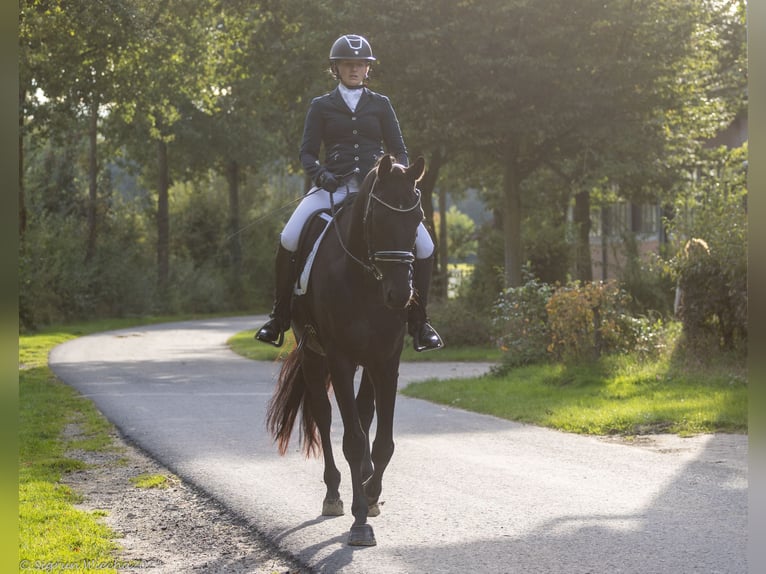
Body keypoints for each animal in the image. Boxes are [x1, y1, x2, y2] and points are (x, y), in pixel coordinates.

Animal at [268, 154, 426, 548]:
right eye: (379, 218)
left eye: (417, 218)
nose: (400, 295)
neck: (367, 281)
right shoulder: (339, 360)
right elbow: (351, 440)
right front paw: (359, 522)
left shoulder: (386, 361)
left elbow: (383, 441)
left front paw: (370, 496)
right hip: (314, 356)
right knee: (324, 418)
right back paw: (333, 494)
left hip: (364, 363)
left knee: (363, 412)